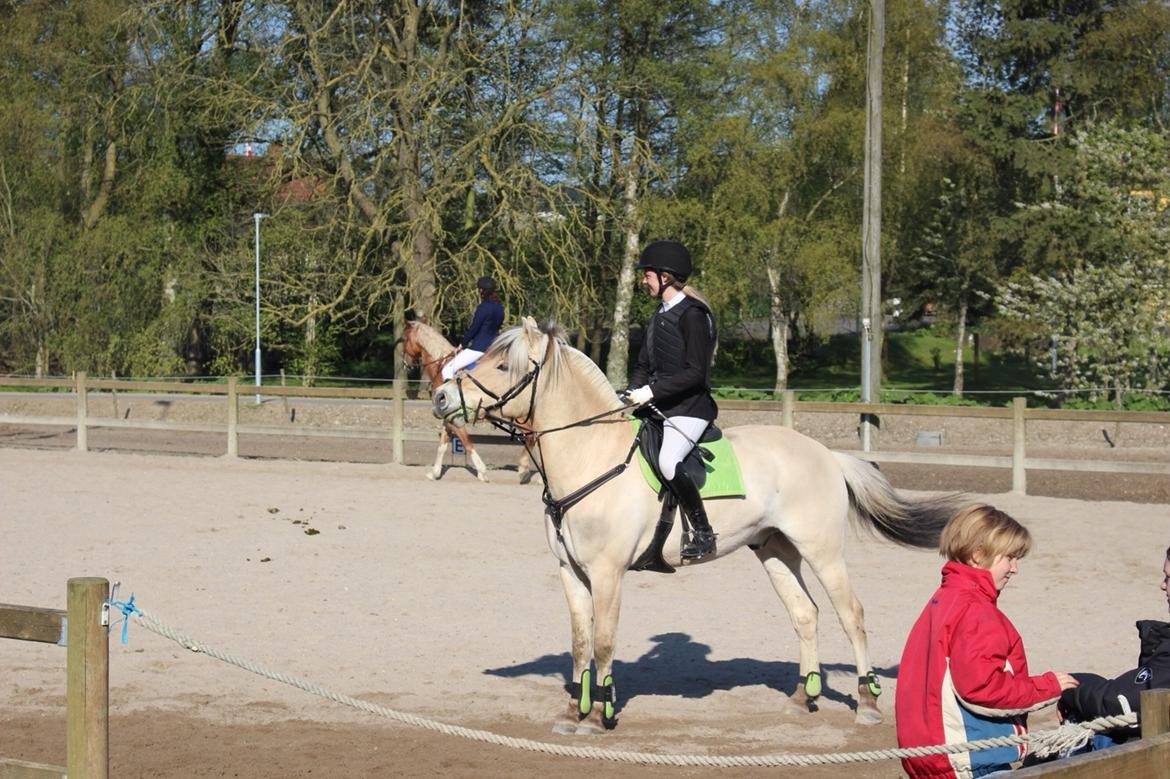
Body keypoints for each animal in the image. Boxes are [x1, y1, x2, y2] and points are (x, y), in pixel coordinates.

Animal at [400, 320, 533, 479]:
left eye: (405, 339)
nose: (405, 364)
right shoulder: (447, 415)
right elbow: (443, 444)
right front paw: (435, 473)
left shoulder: (454, 416)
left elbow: (466, 442)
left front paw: (481, 471)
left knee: (534, 437)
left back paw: (525, 470)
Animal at [432, 318, 968, 729]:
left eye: (504, 365)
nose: (439, 397)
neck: (590, 455)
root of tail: (826, 455)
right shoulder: (571, 572)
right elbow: (580, 641)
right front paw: (572, 711)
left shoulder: (607, 573)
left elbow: (604, 640)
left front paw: (602, 714)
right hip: (775, 549)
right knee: (806, 614)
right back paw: (804, 697)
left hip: (822, 550)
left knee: (850, 614)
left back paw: (868, 702)